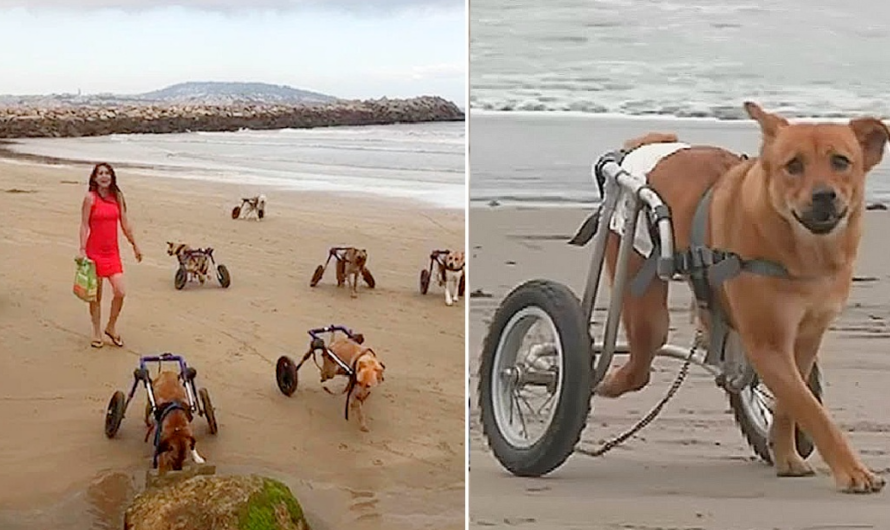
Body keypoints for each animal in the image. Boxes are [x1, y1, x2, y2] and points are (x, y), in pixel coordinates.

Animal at [596, 102, 888, 490]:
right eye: (793, 165)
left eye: (841, 161)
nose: (824, 195)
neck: (804, 250)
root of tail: (650, 144)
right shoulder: (769, 343)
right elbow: (813, 412)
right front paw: (852, 470)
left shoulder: (805, 338)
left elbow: (790, 405)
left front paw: (785, 455)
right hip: (640, 286)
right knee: (643, 357)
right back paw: (610, 382)